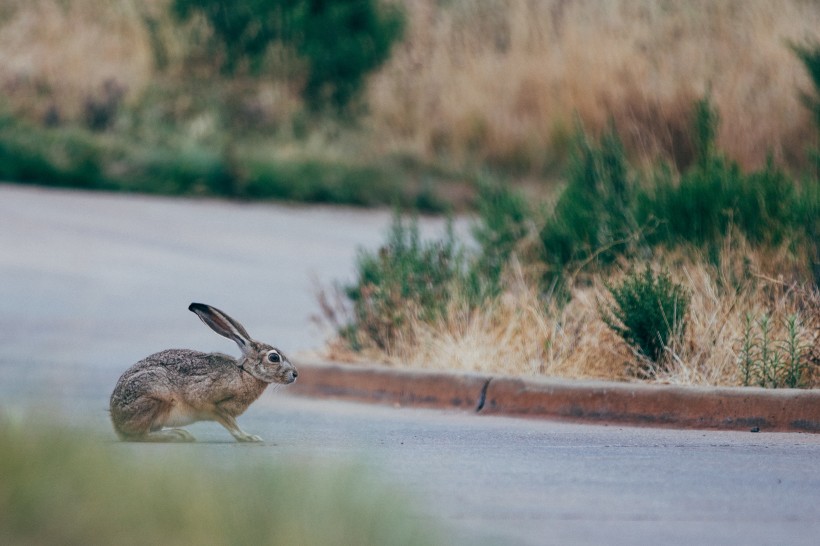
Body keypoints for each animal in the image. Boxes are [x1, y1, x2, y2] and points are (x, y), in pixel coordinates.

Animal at [110, 302, 298, 442]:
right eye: (274, 357)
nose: (295, 374)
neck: (245, 373)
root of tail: (116, 420)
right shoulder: (213, 404)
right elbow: (231, 424)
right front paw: (249, 437)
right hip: (155, 397)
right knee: (140, 435)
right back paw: (177, 435)